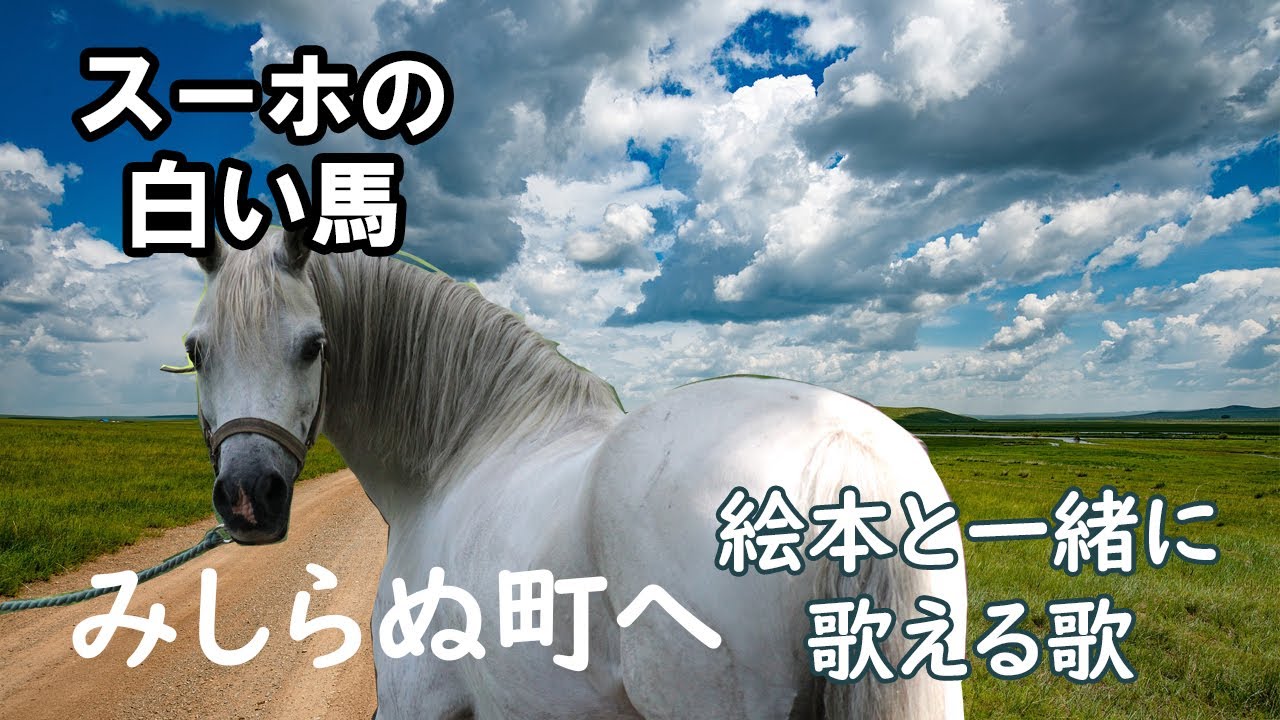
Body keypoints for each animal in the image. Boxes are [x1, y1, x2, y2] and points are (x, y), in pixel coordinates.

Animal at [179, 227, 967, 719]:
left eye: (313, 345)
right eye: (196, 349)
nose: (248, 500)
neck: (454, 461)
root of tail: (844, 449)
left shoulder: (415, 702)